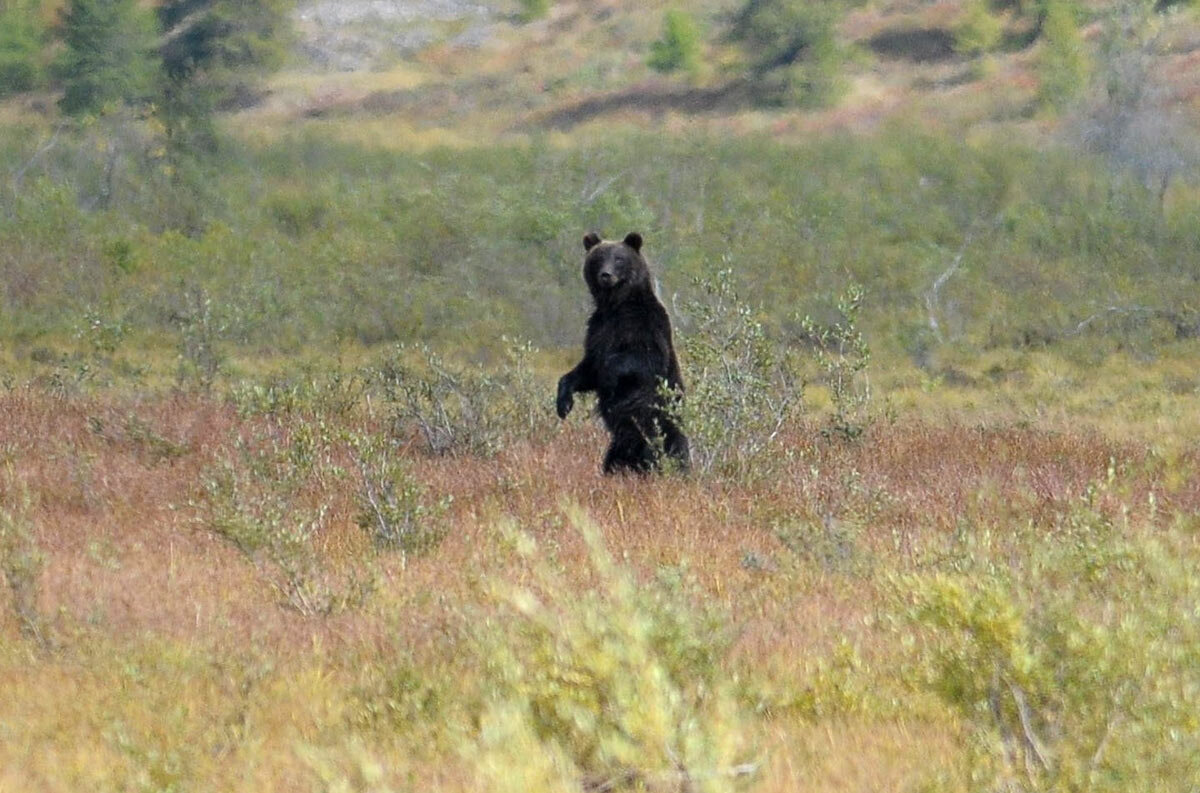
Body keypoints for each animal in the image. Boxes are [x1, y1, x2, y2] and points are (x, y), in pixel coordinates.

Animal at [554, 231, 691, 472]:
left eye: (619, 259)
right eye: (599, 258)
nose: (606, 275)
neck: (616, 305)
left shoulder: (644, 326)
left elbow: (642, 359)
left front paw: (609, 377)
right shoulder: (597, 330)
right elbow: (587, 370)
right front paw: (563, 404)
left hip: (655, 425)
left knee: (665, 449)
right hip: (621, 442)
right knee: (614, 458)